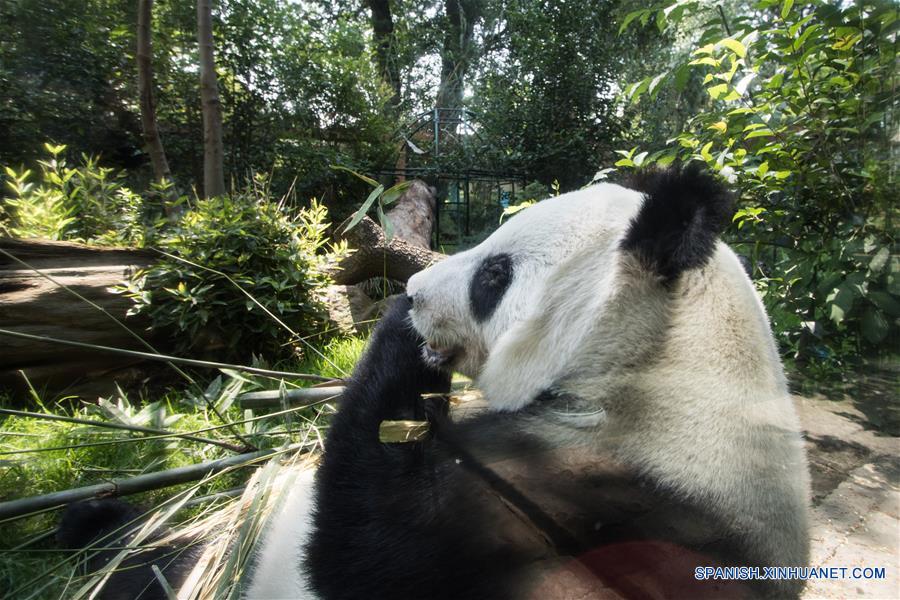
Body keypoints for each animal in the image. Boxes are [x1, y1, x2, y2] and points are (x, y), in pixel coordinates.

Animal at [61, 165, 808, 600]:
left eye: (494, 276)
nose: (416, 293)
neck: (658, 369)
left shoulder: (607, 504)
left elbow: (374, 553)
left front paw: (399, 333)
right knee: (157, 547)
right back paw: (91, 521)